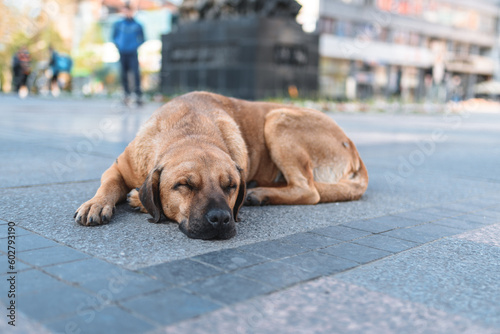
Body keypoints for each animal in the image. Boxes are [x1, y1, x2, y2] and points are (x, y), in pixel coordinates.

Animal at [74, 90, 368, 239]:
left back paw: (260, 194)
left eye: (231, 186)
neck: (190, 131)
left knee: (309, 190)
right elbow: (109, 184)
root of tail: (352, 145)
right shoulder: (119, 167)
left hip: (278, 118)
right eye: (184, 185)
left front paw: (136, 200)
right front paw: (96, 204)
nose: (220, 219)